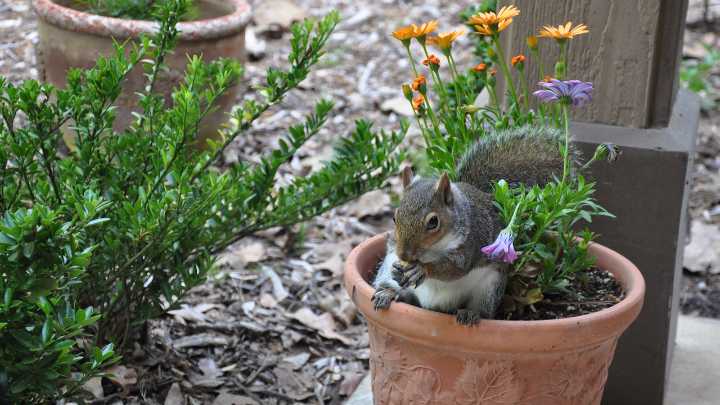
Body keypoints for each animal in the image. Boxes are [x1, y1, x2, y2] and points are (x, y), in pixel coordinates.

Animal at [372, 126, 573, 325]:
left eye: (433, 222)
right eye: (394, 218)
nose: (404, 255)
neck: (433, 250)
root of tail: (434, 307)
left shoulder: (470, 245)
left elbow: (453, 269)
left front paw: (422, 269)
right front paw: (399, 270)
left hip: (489, 288)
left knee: (483, 310)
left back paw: (470, 313)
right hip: (385, 273)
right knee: (400, 292)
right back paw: (387, 293)